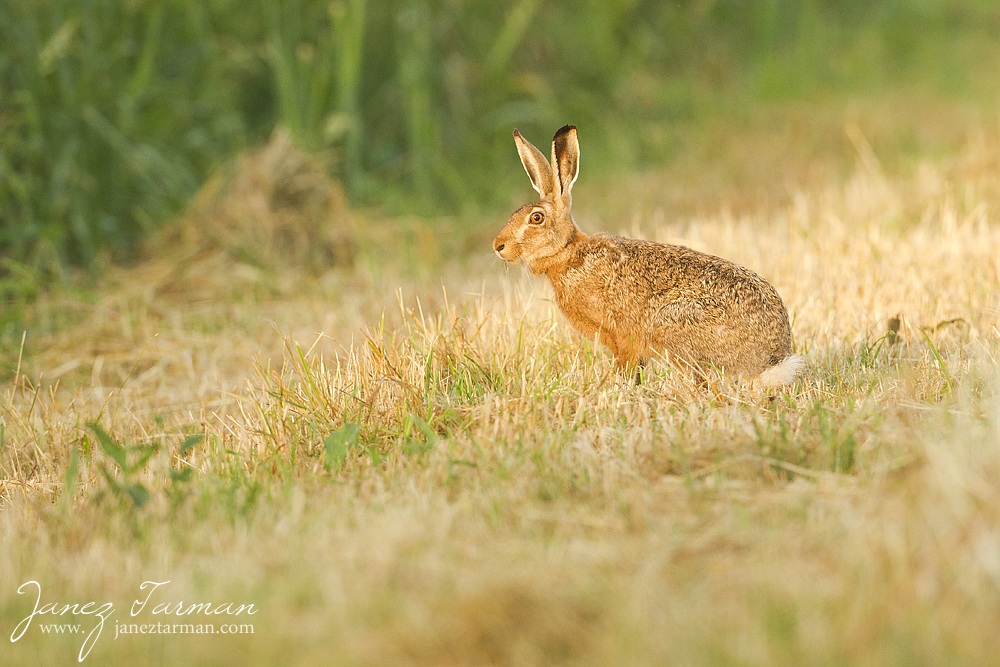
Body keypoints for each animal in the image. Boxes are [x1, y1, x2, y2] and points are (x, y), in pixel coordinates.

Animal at [493, 124, 803, 387]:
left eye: (536, 218)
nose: (498, 246)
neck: (569, 254)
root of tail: (771, 360)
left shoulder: (622, 337)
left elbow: (626, 365)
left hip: (671, 323)